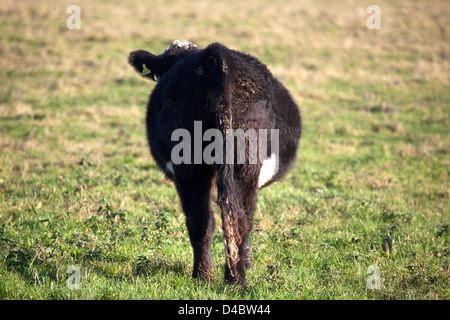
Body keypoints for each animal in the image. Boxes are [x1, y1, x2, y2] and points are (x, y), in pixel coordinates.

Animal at [128, 40, 300, 288]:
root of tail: (215, 56)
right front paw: (248, 263)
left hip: (191, 164)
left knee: (202, 219)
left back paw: (205, 276)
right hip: (242, 164)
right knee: (236, 218)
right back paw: (235, 279)